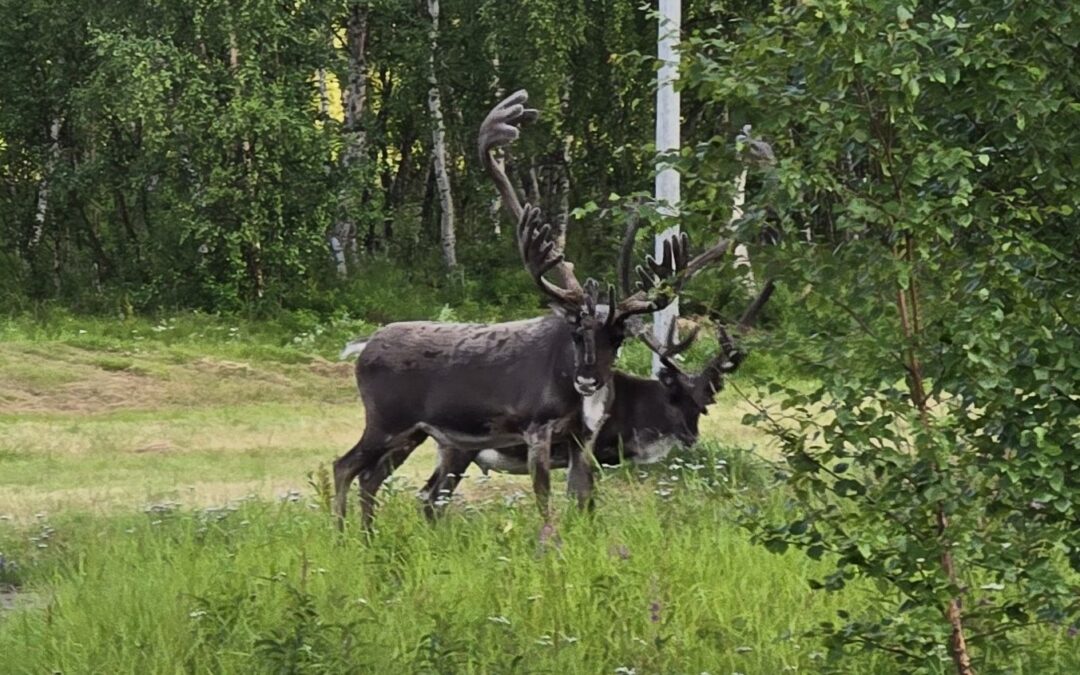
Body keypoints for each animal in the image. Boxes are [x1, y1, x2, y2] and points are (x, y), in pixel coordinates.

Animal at [333, 90, 721, 534]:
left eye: (618, 336)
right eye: (576, 330)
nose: (588, 379)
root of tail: (364, 346)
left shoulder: (580, 443)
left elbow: (583, 505)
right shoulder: (537, 431)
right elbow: (545, 505)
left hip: (414, 433)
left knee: (373, 477)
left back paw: (368, 537)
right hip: (387, 421)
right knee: (345, 467)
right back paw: (343, 536)